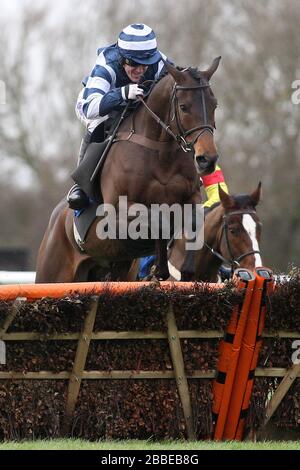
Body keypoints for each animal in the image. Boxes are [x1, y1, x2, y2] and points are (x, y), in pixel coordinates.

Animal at [36, 57, 221, 280]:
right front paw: (159, 267)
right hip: (52, 272)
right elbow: (159, 219)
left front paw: (181, 269)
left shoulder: (191, 197)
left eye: (214, 105)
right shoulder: (117, 210)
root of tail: (55, 220)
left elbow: (193, 220)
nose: (207, 159)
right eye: (184, 107)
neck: (160, 152)